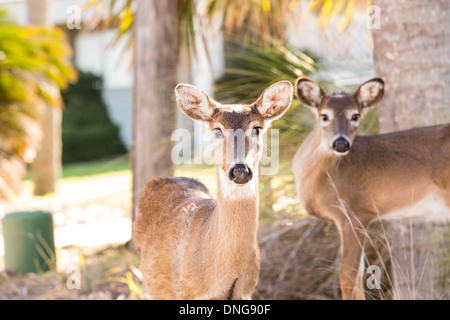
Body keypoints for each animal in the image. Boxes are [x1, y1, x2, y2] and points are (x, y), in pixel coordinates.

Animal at [292, 76, 450, 302]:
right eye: (324, 116)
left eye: (355, 115)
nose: (341, 143)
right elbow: (358, 275)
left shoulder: (354, 212)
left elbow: (347, 275)